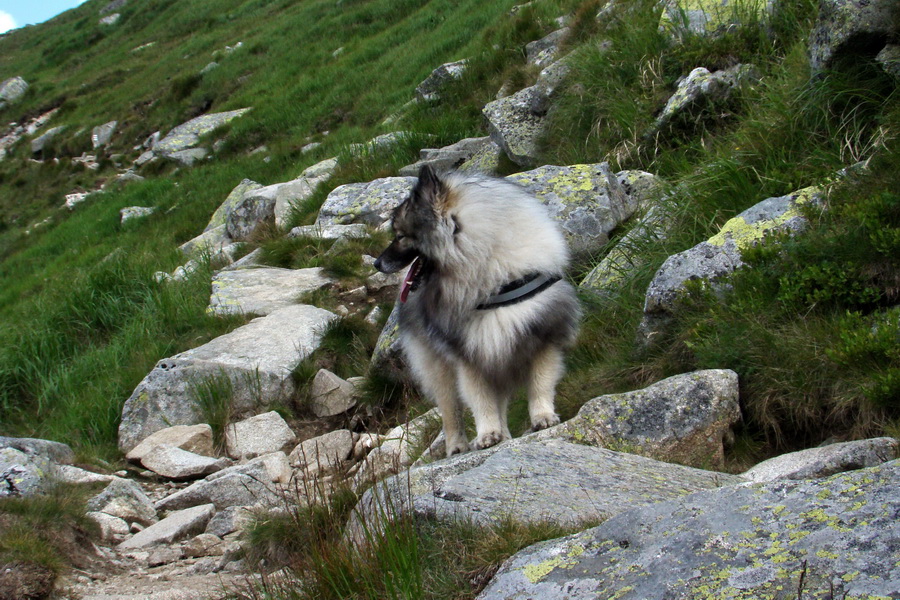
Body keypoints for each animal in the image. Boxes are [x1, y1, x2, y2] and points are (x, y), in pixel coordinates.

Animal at [374, 164, 580, 454]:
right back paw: (458, 446)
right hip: (440, 369)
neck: (495, 278)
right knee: (450, 411)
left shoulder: (540, 336)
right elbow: (481, 401)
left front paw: (542, 417)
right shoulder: (468, 355)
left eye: (400, 236)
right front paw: (487, 433)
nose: (376, 263)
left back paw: (505, 435)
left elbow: (540, 384)